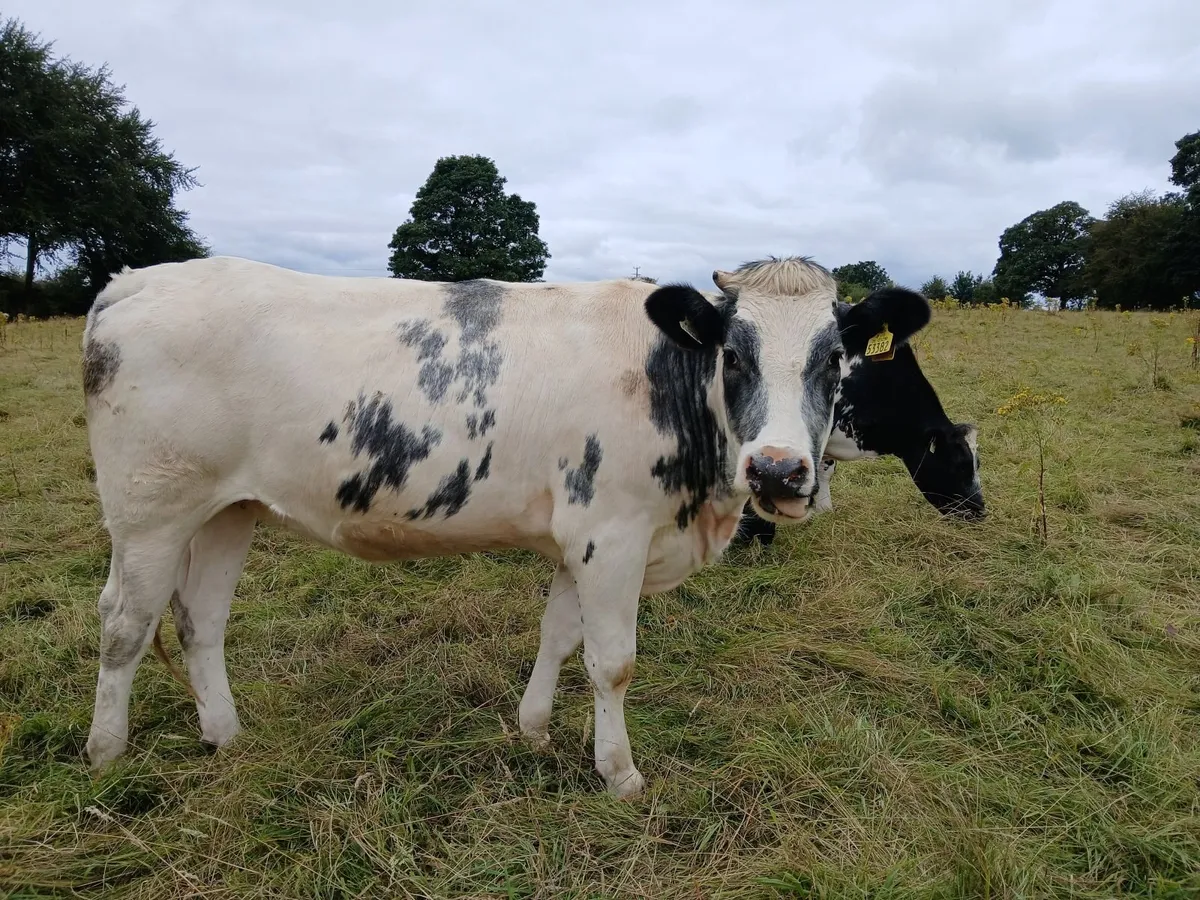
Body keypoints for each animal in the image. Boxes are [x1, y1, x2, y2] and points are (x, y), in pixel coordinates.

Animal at [79, 255, 929, 797]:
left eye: (834, 359)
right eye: (735, 356)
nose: (779, 471)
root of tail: (135, 280)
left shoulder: (577, 538)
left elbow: (559, 637)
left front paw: (535, 729)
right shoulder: (614, 535)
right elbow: (612, 662)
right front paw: (620, 773)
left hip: (229, 508)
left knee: (200, 620)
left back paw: (225, 735)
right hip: (149, 510)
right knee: (124, 623)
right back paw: (105, 753)